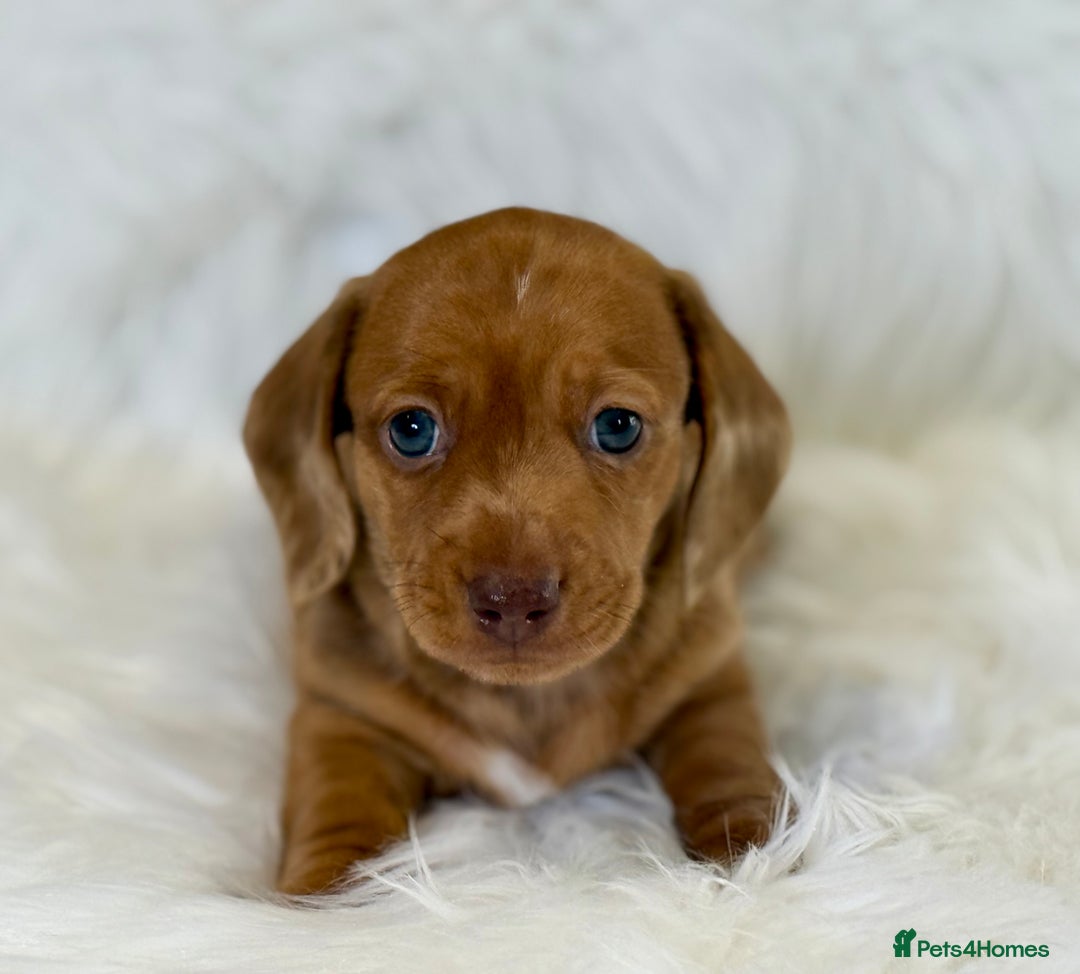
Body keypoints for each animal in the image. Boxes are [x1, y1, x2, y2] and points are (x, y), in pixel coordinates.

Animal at [243, 207, 791, 895]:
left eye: (617, 426)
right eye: (411, 430)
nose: (512, 600)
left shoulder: (710, 682)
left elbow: (729, 768)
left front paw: (751, 865)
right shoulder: (342, 716)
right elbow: (338, 810)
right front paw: (327, 898)